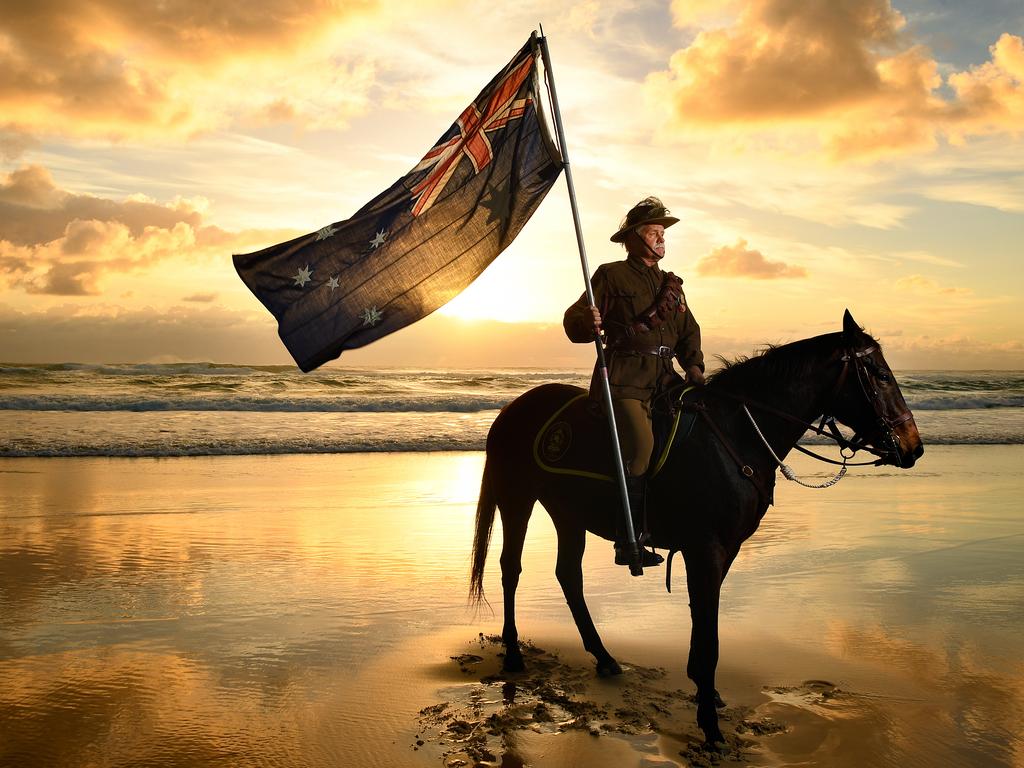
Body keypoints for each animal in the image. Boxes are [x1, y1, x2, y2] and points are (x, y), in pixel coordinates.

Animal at [468, 309, 925, 749]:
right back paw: (514, 654)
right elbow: (710, 637)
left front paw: (707, 694)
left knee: (568, 576)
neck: (738, 435)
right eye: (881, 376)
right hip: (517, 498)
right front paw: (710, 725)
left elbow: (703, 626)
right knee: (511, 569)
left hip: (568, 512)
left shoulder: (724, 551)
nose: (913, 446)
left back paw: (604, 657)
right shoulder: (705, 549)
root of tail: (512, 409)